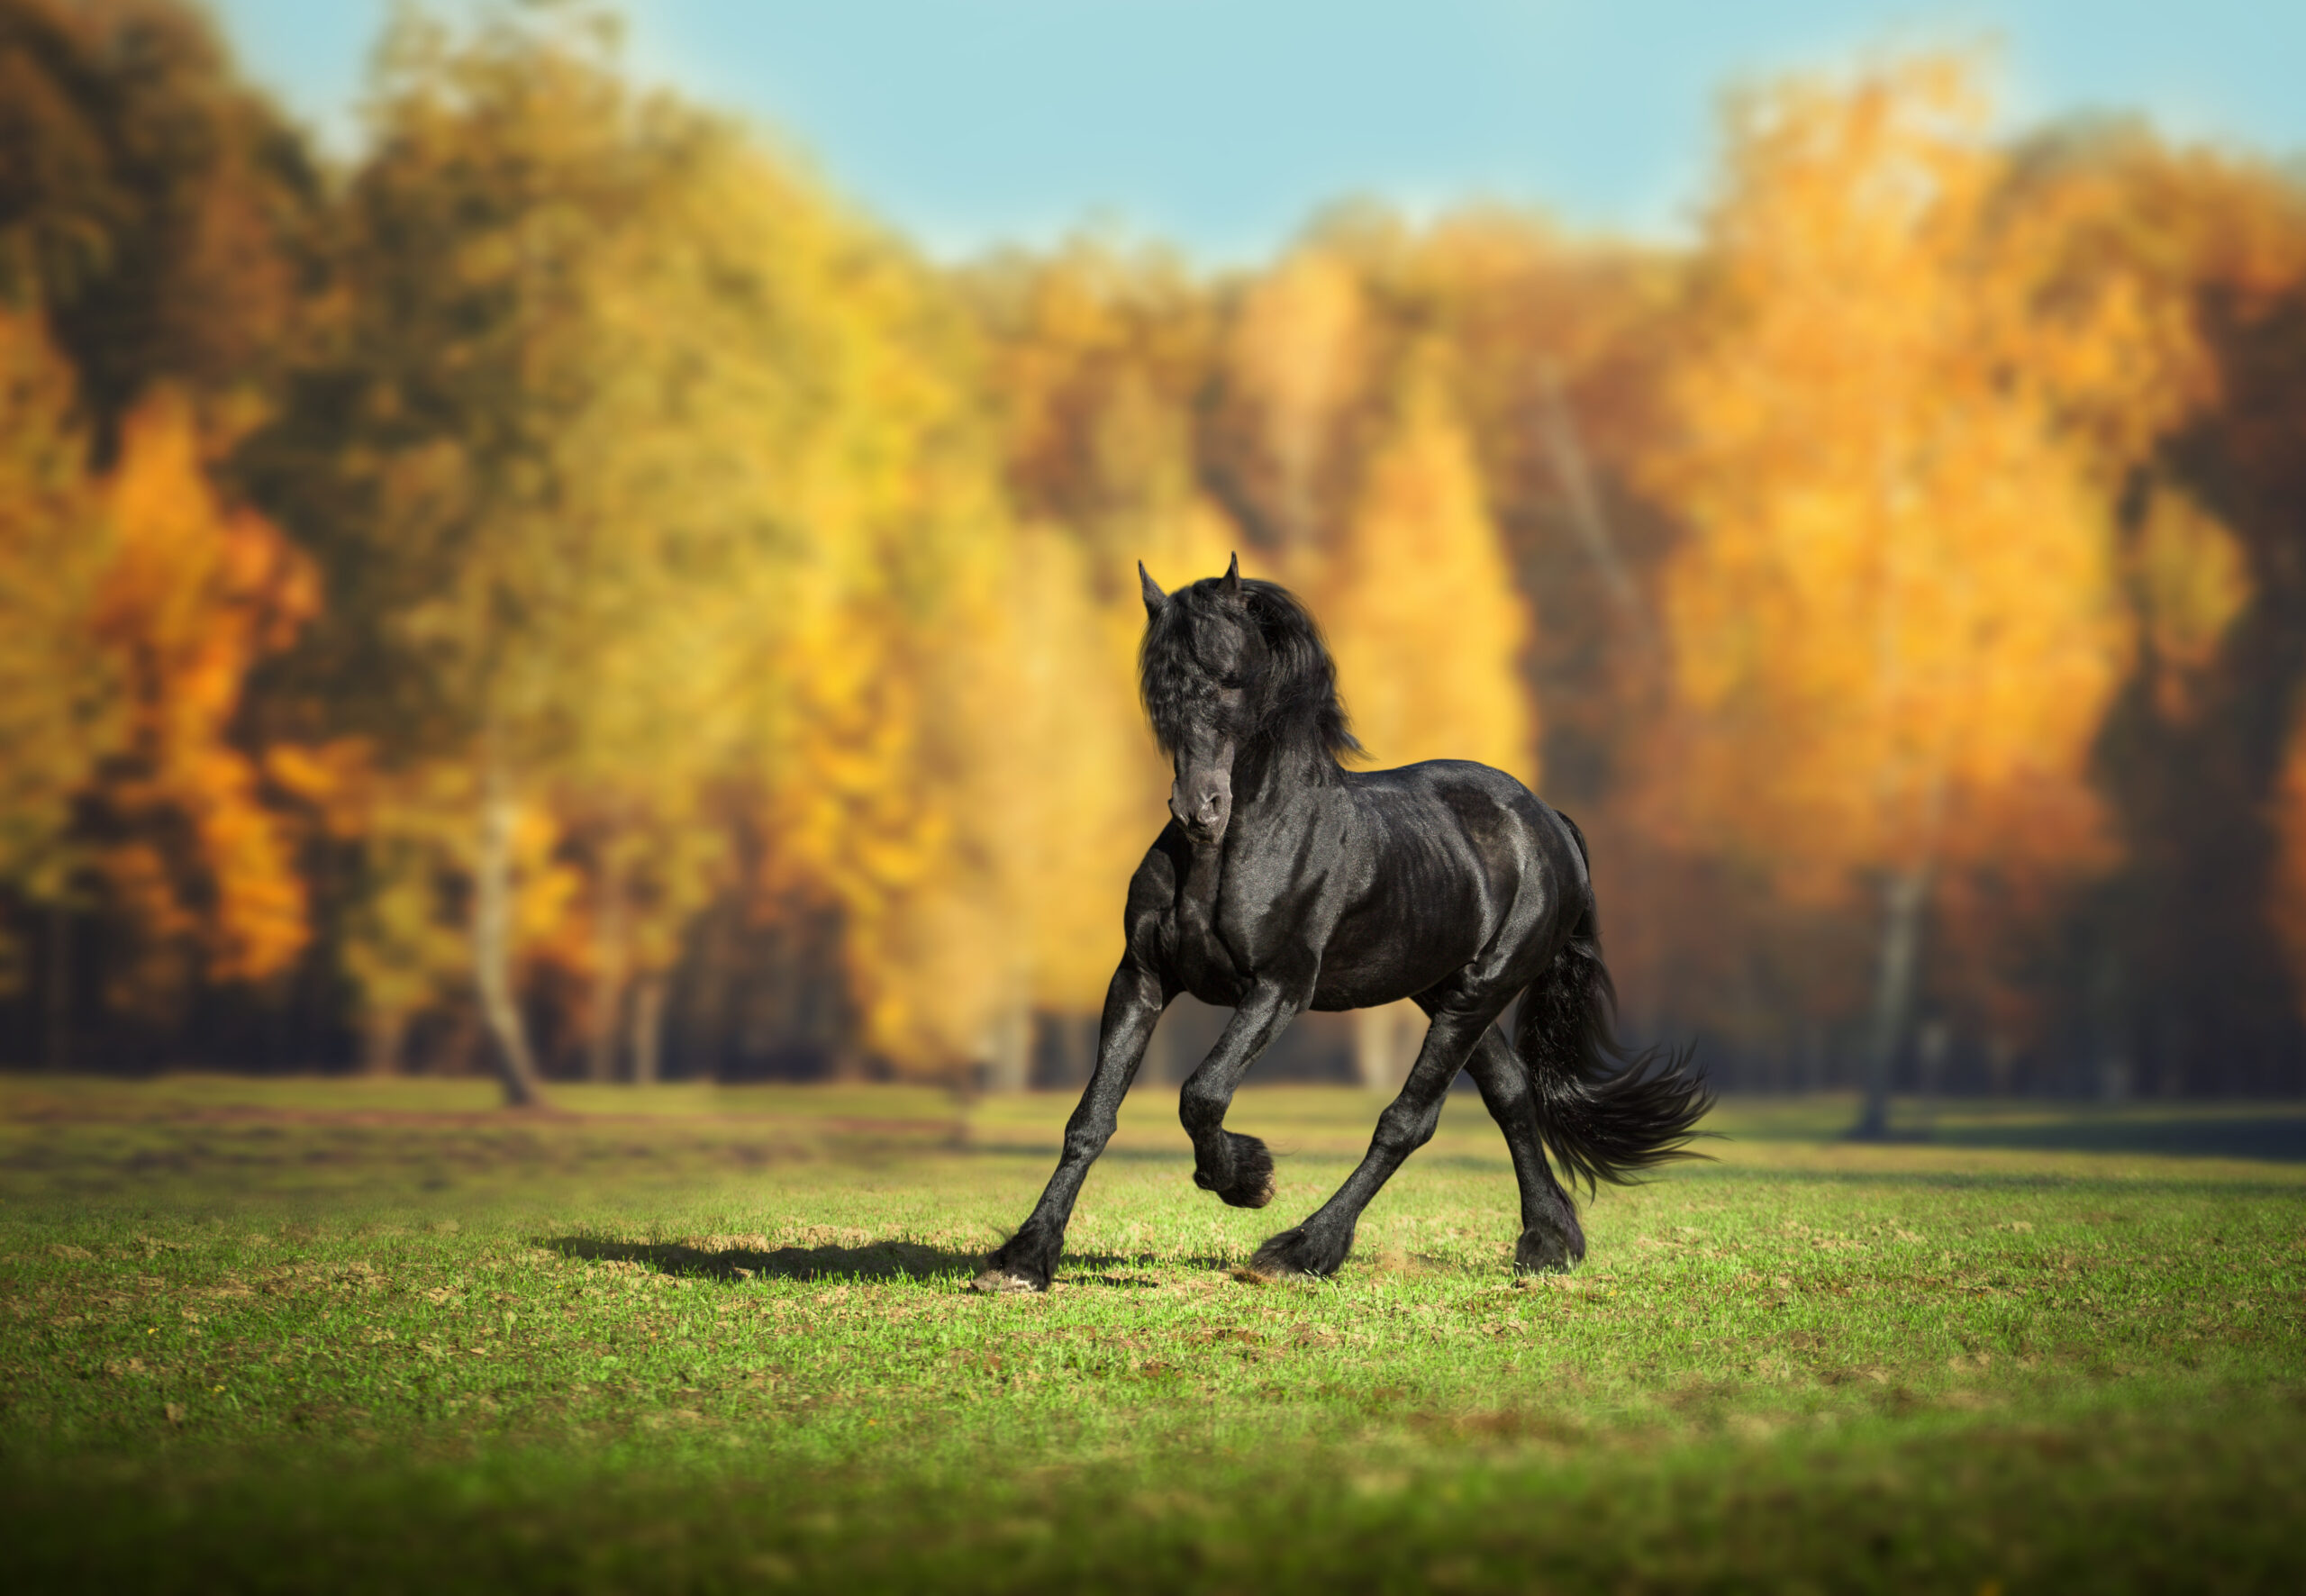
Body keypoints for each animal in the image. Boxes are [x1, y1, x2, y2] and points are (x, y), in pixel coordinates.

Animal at [964, 556, 1706, 1291]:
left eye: (1230, 677)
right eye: (1160, 690)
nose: (1199, 808)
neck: (1233, 849)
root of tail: (1547, 821)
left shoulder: (1280, 988)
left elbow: (1202, 1093)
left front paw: (1249, 1179)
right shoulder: (1141, 979)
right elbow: (1091, 1118)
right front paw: (1024, 1258)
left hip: (1479, 991)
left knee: (1408, 1120)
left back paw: (1301, 1250)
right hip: (1444, 990)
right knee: (1511, 1094)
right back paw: (1549, 1242)